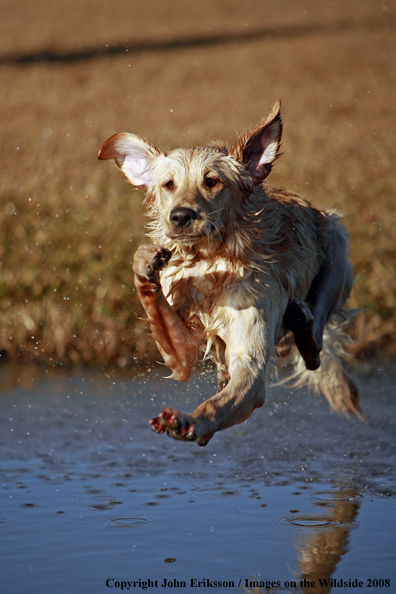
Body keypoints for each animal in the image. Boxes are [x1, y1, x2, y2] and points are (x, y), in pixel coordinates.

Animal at [97, 100, 360, 444]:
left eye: (211, 181)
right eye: (169, 184)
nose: (180, 216)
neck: (210, 265)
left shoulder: (250, 366)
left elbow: (217, 404)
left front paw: (188, 421)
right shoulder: (181, 356)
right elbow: (159, 313)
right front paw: (145, 263)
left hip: (336, 258)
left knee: (314, 348)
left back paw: (301, 321)